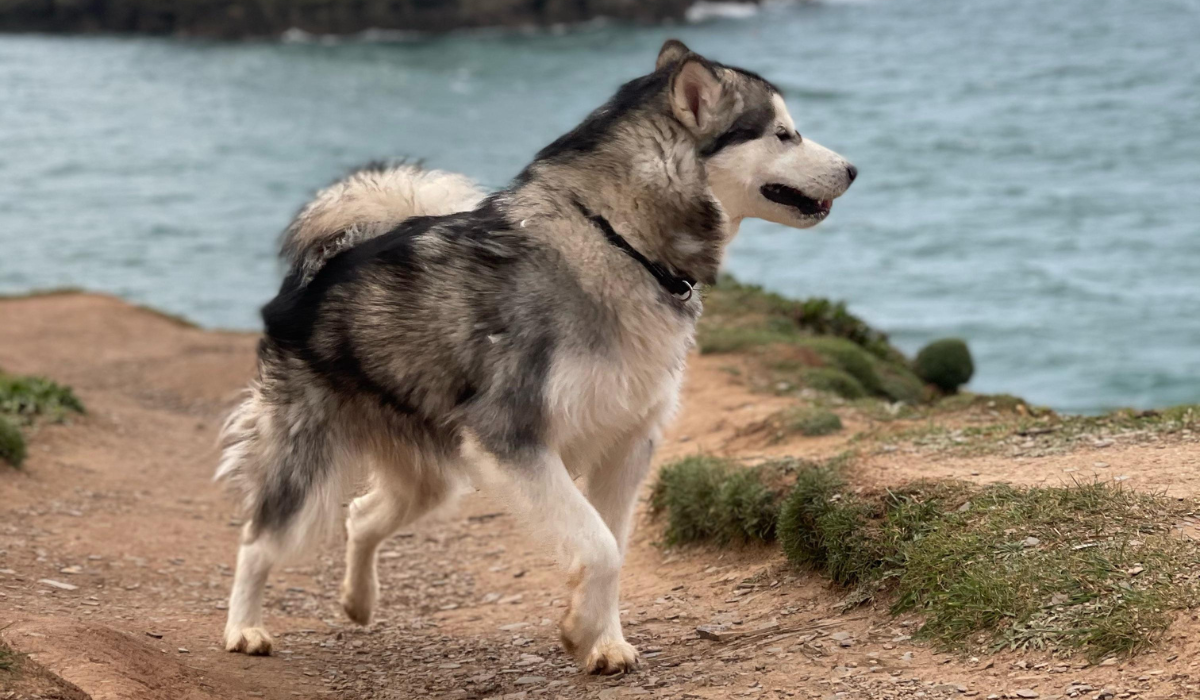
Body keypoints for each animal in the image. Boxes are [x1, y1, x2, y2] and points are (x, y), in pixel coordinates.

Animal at [216, 41, 854, 677]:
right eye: (782, 134)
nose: (853, 169)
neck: (620, 240)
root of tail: (327, 263)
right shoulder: (513, 438)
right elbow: (598, 545)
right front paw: (581, 630)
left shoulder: (626, 444)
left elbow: (615, 547)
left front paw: (603, 640)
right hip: (307, 464)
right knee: (258, 540)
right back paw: (244, 628)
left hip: (429, 476)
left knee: (363, 515)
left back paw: (358, 600)